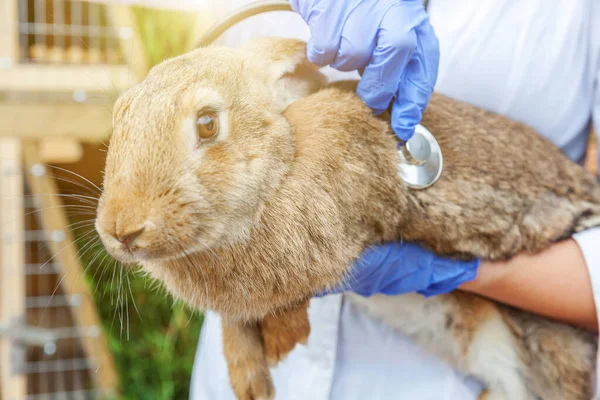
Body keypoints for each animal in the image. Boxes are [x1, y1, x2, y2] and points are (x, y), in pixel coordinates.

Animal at [94, 36, 600, 398]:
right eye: (119, 115)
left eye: (207, 123)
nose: (121, 229)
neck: (285, 157)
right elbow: (234, 322)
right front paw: (250, 383)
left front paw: (283, 343)